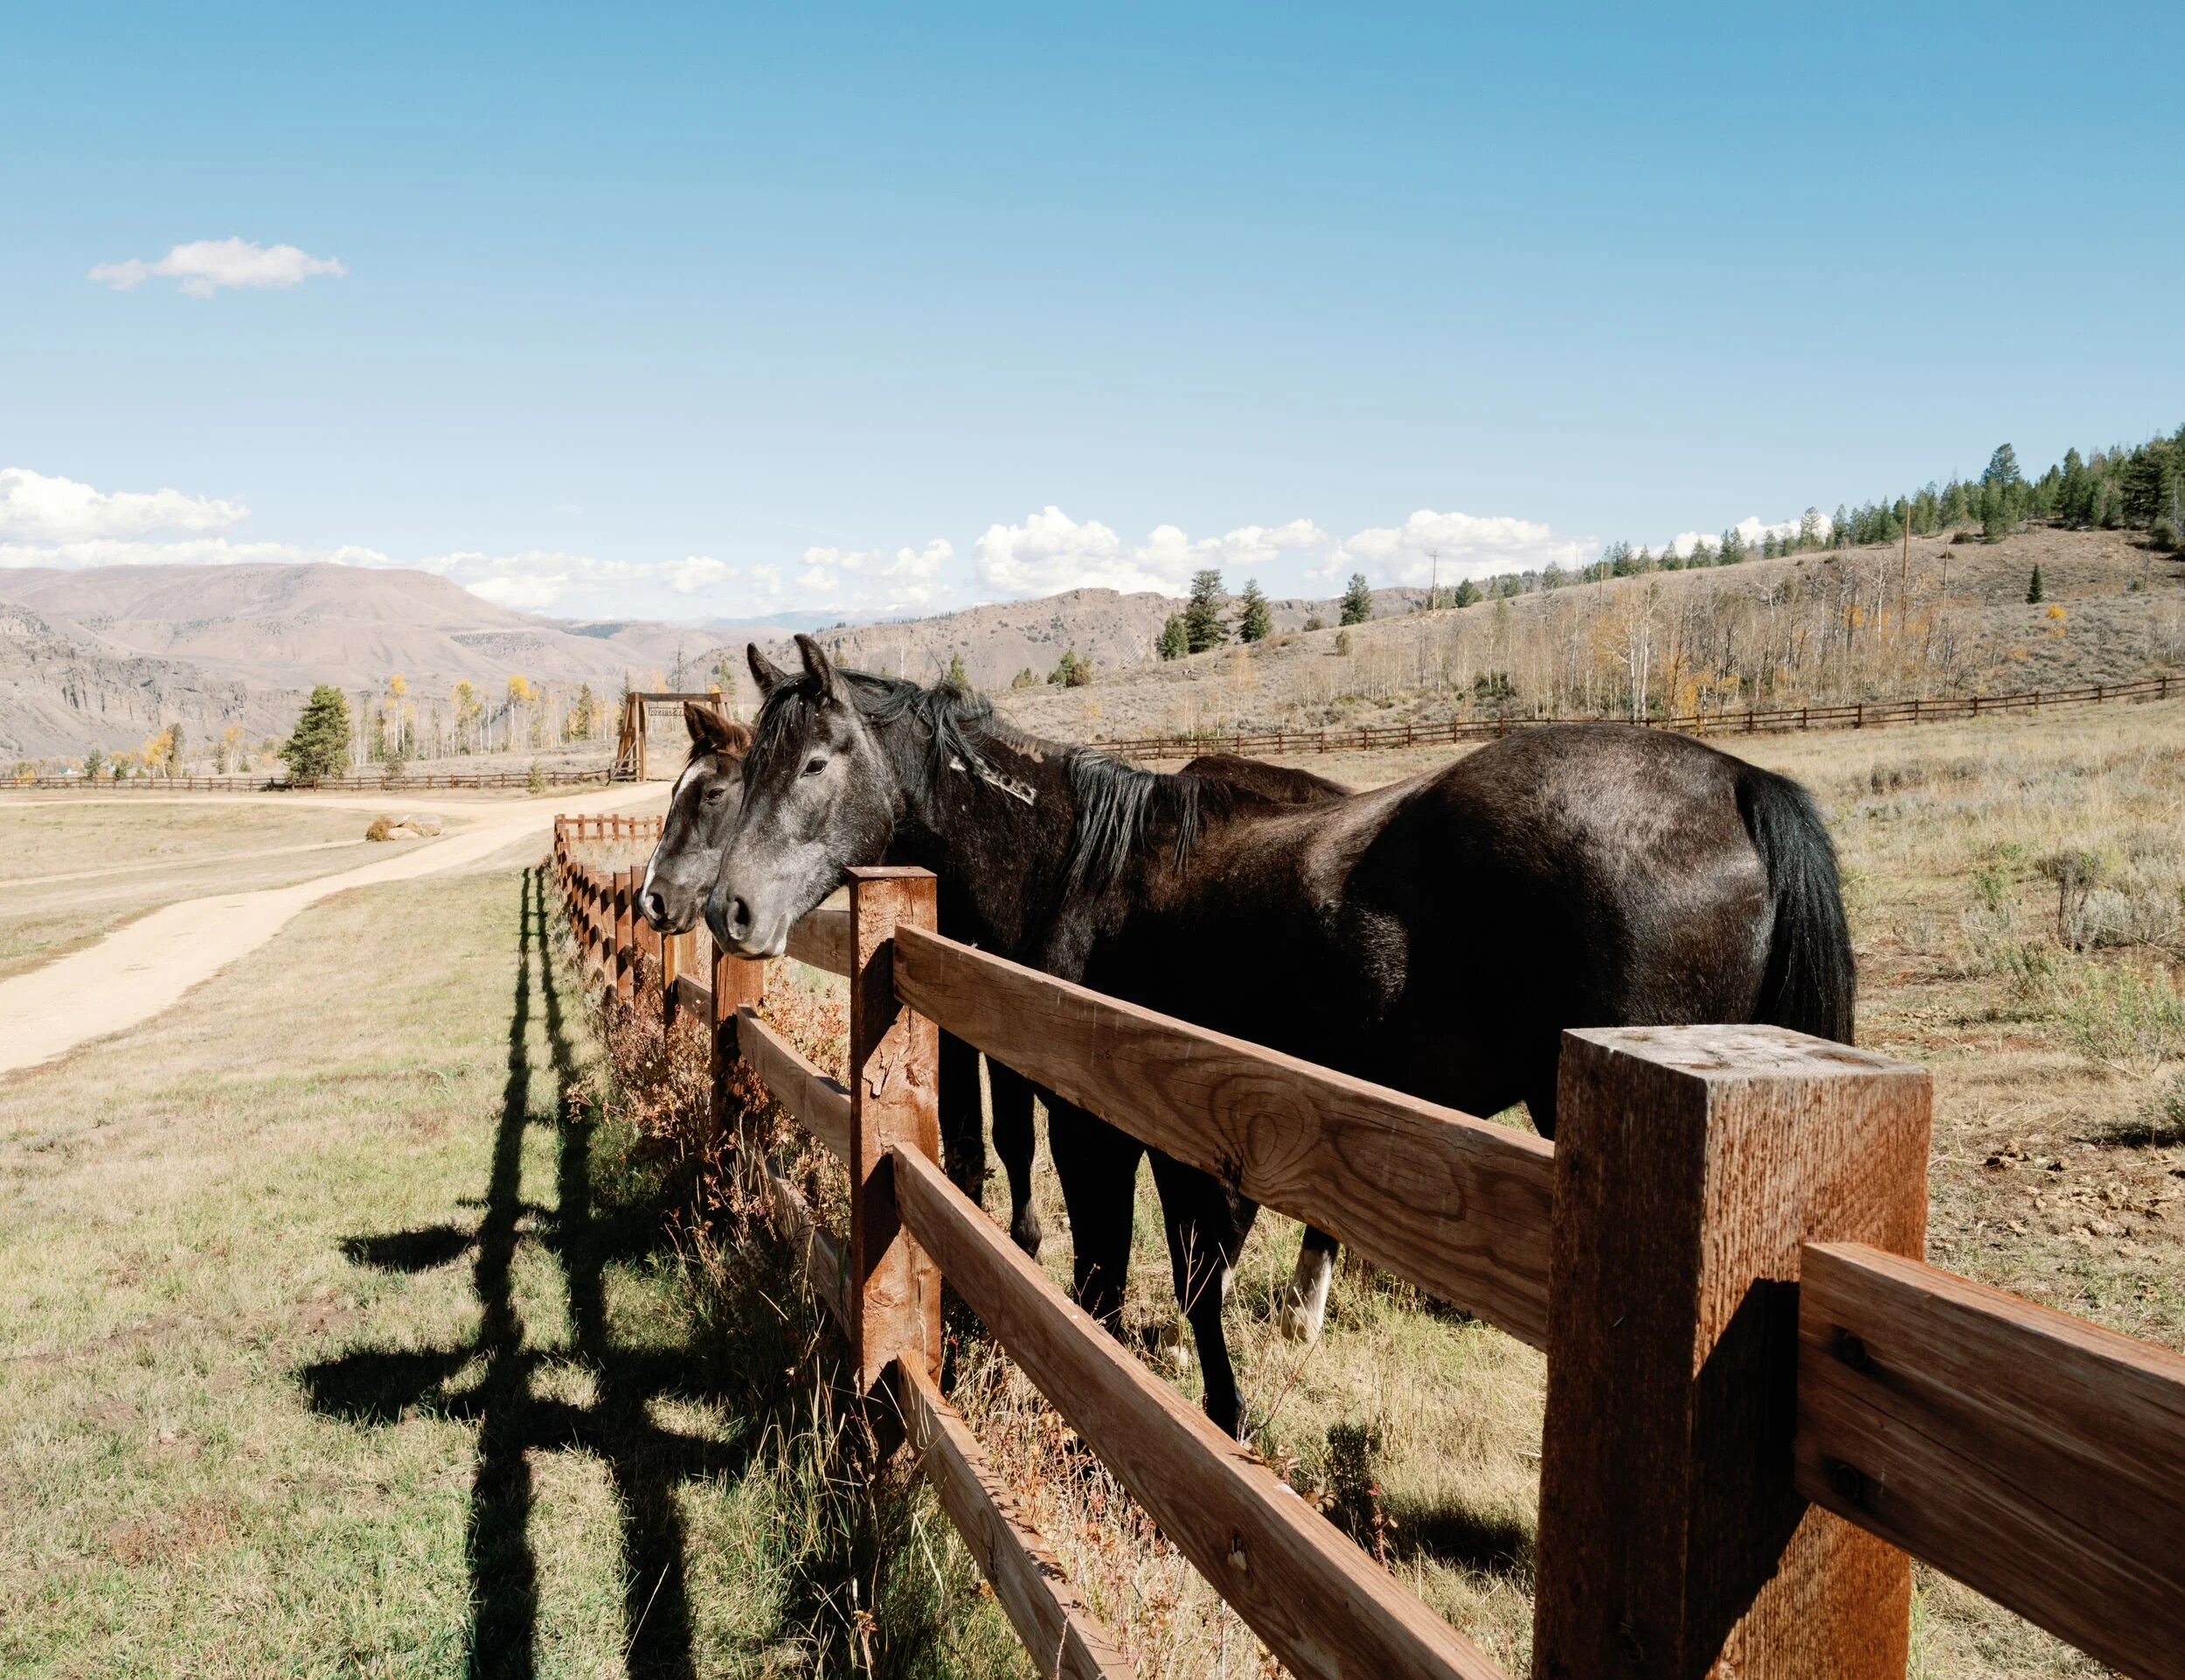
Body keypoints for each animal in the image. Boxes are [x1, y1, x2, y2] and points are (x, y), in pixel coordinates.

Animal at [708, 637, 1853, 1439]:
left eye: (815, 763)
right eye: (747, 769)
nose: (726, 909)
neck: (1075, 862)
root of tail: (1738, 786)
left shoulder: (1097, 1124)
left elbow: (1106, 1277)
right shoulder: (1180, 1129)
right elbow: (1196, 1275)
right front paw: (1224, 1412)